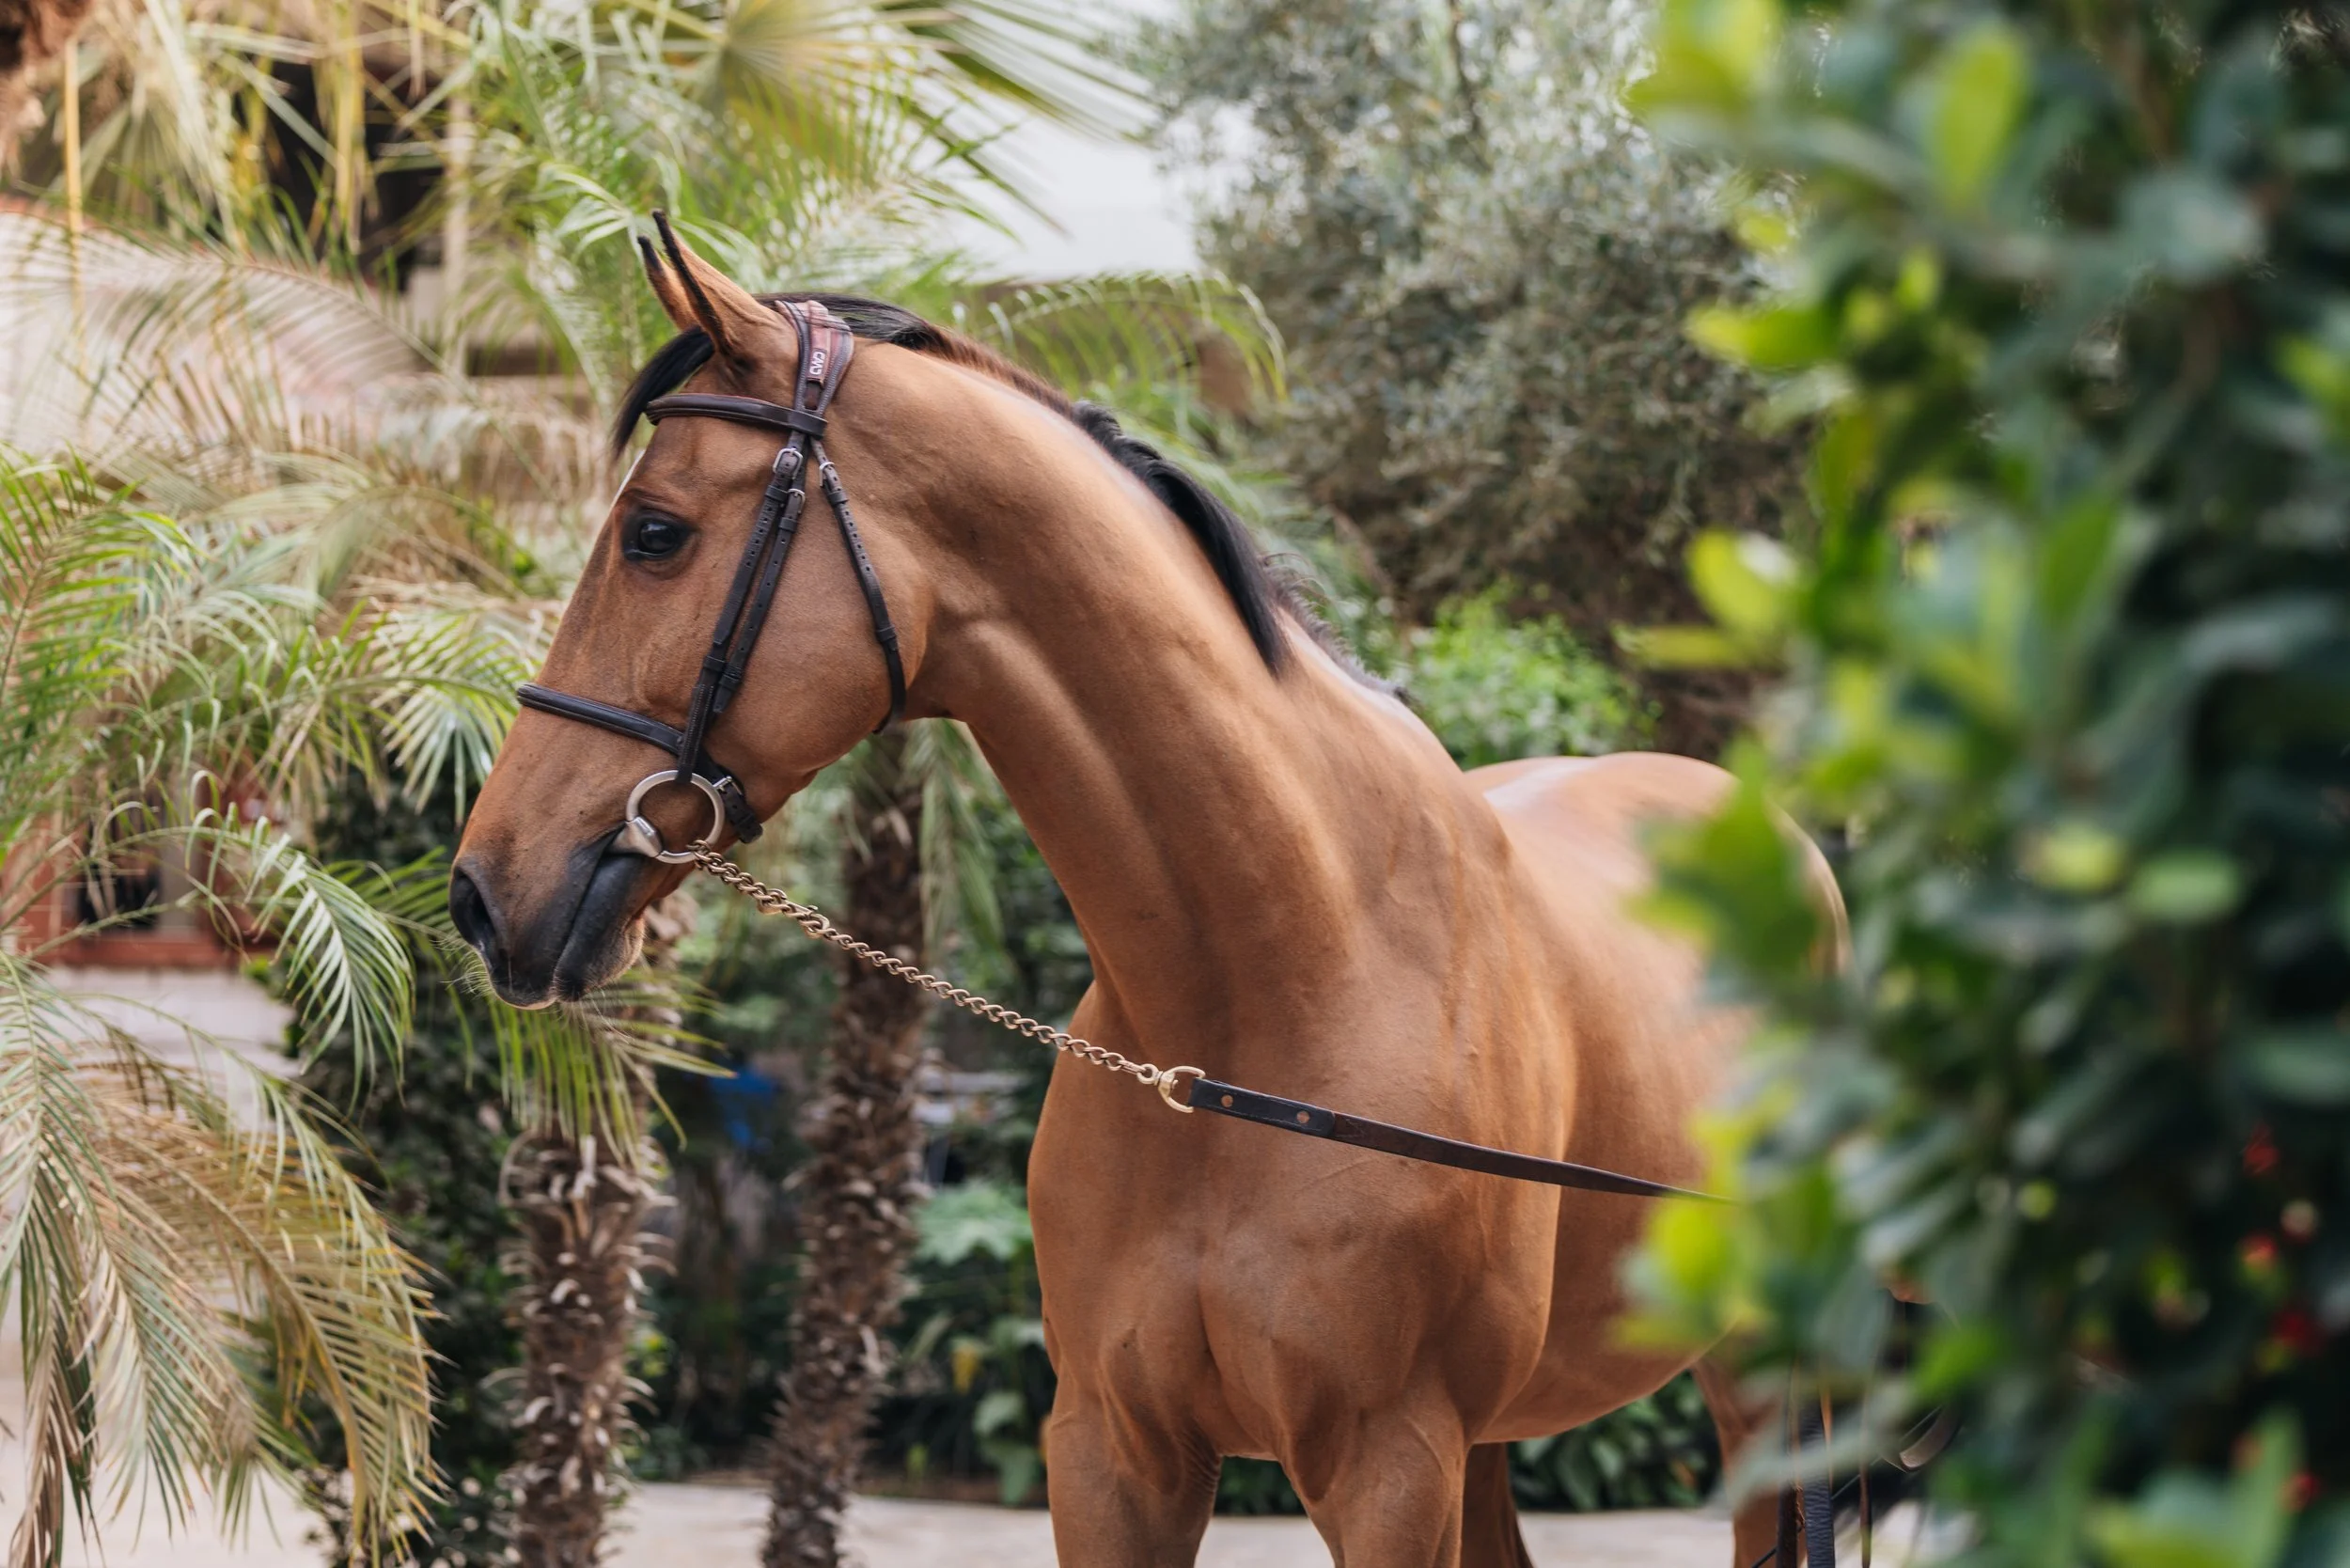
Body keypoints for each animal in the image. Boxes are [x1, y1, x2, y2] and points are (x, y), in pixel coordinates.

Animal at [448, 229, 1845, 1568]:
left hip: (1761, 1393)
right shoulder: (1115, 1455)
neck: (1273, 994)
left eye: (655, 532)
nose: (479, 890)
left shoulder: (1390, 1466)